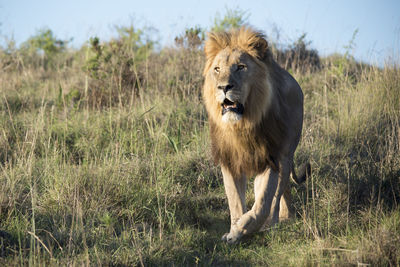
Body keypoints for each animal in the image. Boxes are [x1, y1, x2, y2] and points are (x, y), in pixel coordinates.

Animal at [202, 27, 310, 245]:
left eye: (241, 67)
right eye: (217, 69)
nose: (223, 87)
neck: (242, 125)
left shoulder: (271, 157)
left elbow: (263, 203)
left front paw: (243, 228)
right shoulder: (230, 160)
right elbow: (235, 201)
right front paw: (234, 232)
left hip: (286, 156)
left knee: (276, 196)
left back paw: (274, 223)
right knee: (283, 191)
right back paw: (286, 217)